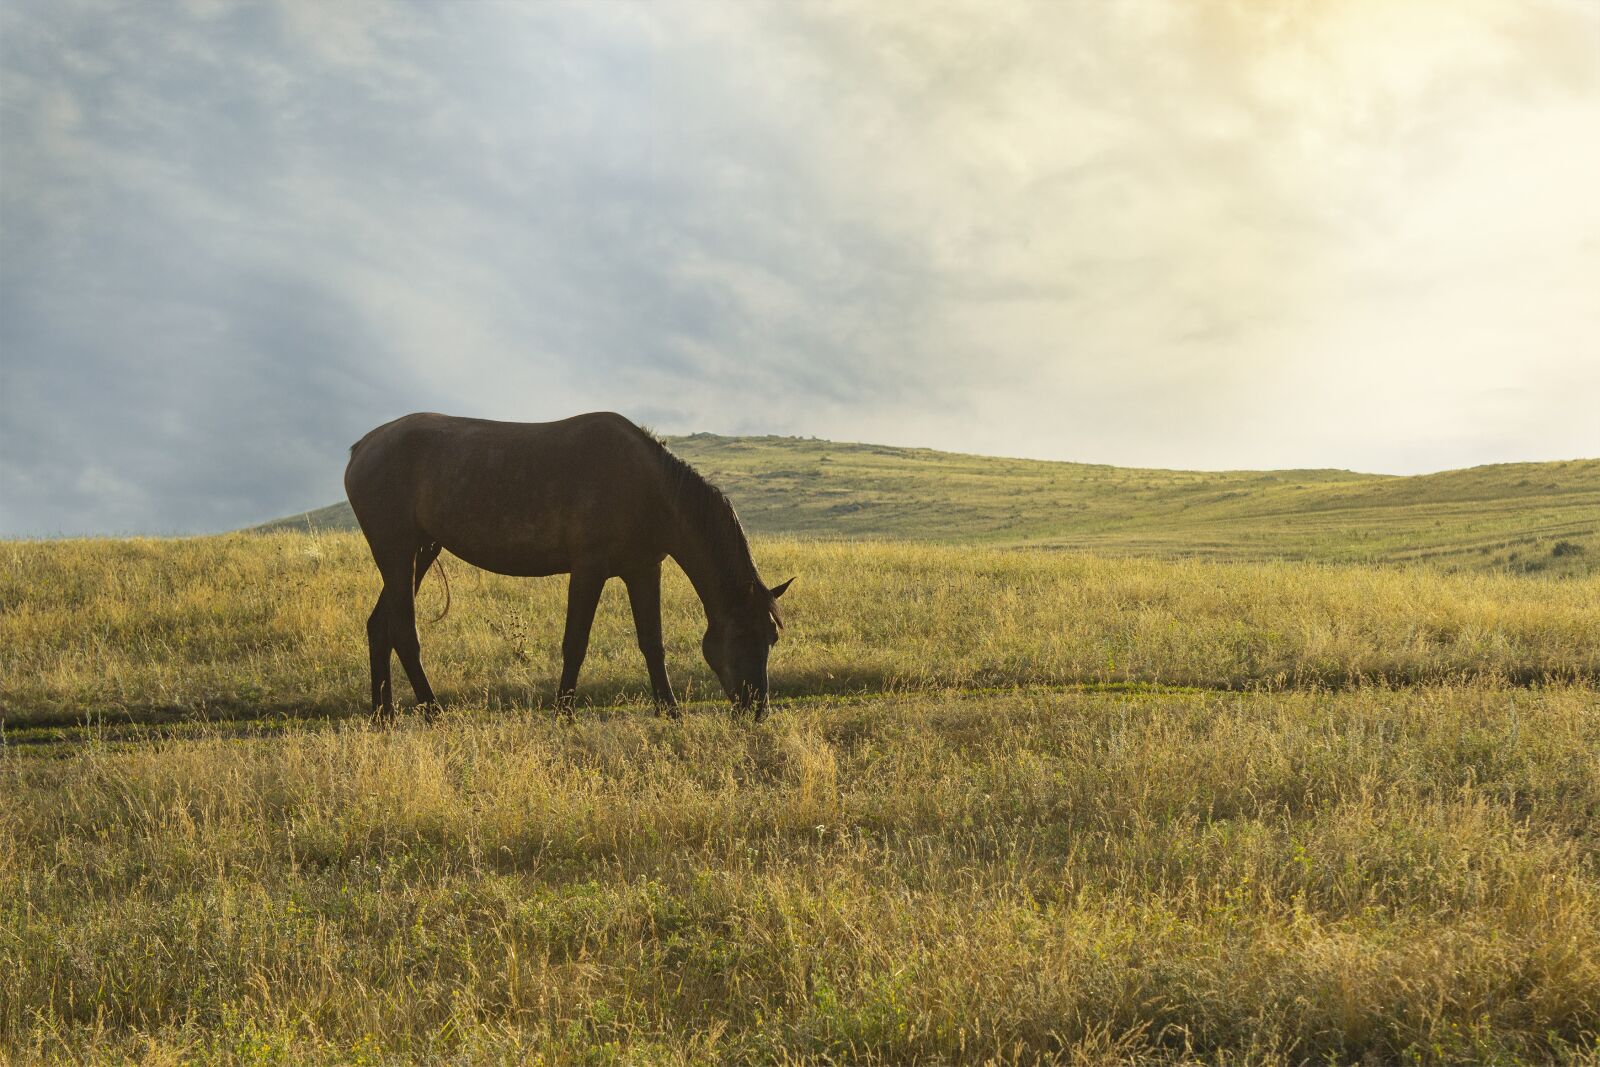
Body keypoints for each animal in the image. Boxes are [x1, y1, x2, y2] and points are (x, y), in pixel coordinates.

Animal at [343, 411, 792, 723]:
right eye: (742, 634)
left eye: (771, 637)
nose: (757, 708)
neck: (649, 488)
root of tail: (363, 446)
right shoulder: (589, 569)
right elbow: (575, 643)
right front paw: (564, 714)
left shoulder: (644, 570)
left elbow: (652, 643)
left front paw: (669, 711)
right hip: (398, 552)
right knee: (404, 630)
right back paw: (433, 712)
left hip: (420, 552)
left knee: (380, 625)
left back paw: (383, 716)